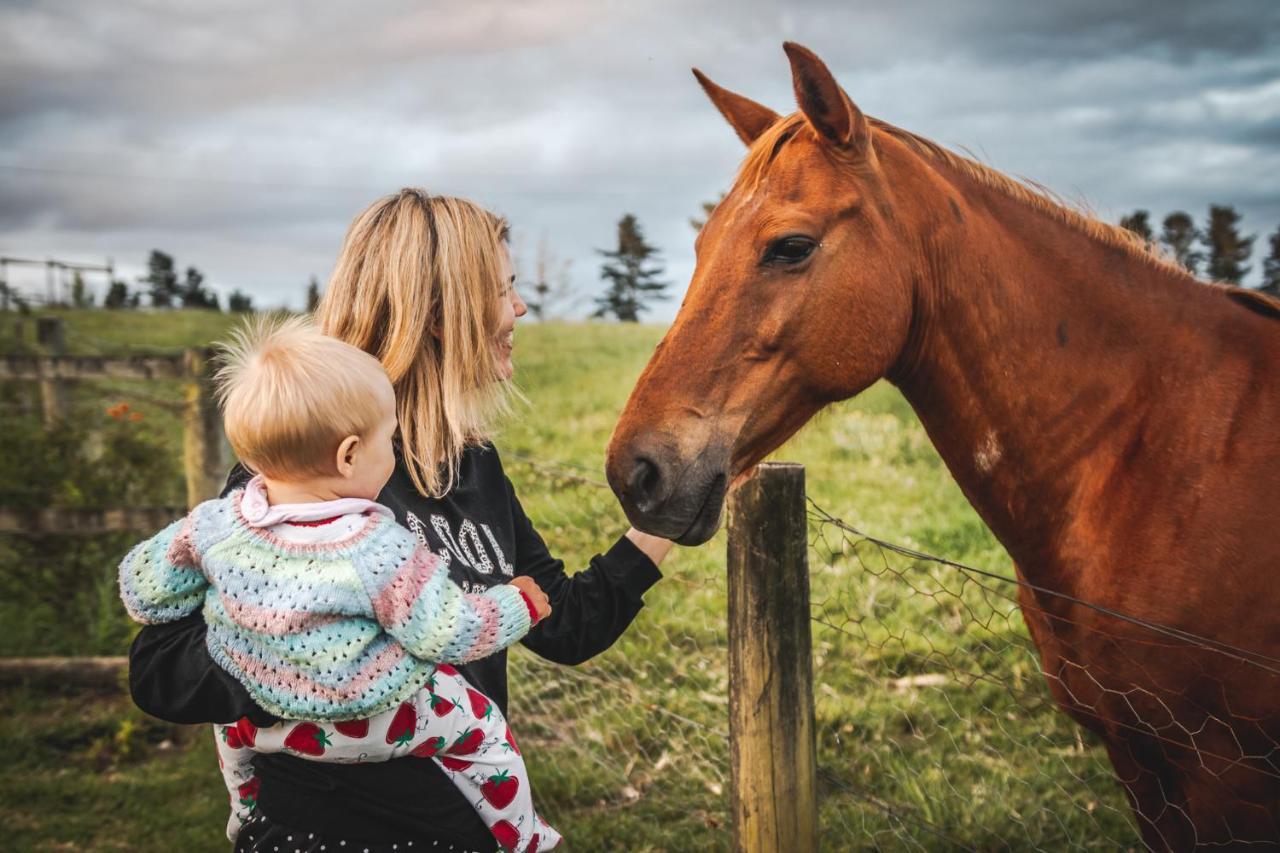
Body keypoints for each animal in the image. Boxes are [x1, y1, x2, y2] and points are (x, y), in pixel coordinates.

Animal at [604, 43, 1280, 845]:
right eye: (702, 245)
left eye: (791, 246)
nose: (636, 472)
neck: (1158, 456)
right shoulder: (1143, 765)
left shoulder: (1222, 780)